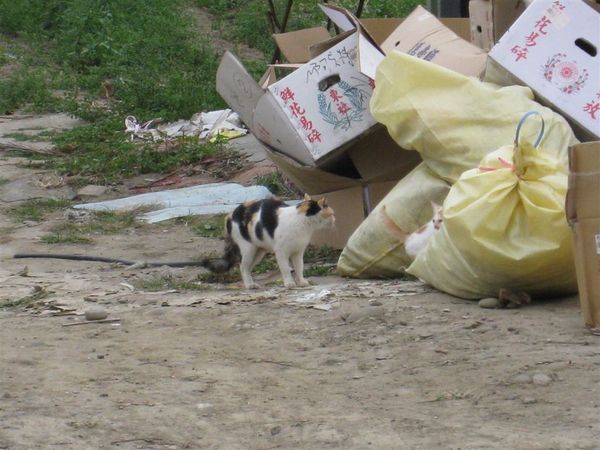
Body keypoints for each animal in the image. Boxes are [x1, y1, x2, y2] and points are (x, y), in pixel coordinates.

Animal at [203, 195, 336, 290]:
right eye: (332, 214)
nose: (335, 219)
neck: (303, 223)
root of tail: (231, 214)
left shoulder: (298, 252)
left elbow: (299, 268)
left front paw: (301, 281)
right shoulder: (281, 252)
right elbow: (285, 268)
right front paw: (289, 283)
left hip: (258, 252)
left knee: (247, 267)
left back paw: (252, 283)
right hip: (248, 249)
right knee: (242, 266)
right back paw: (249, 285)